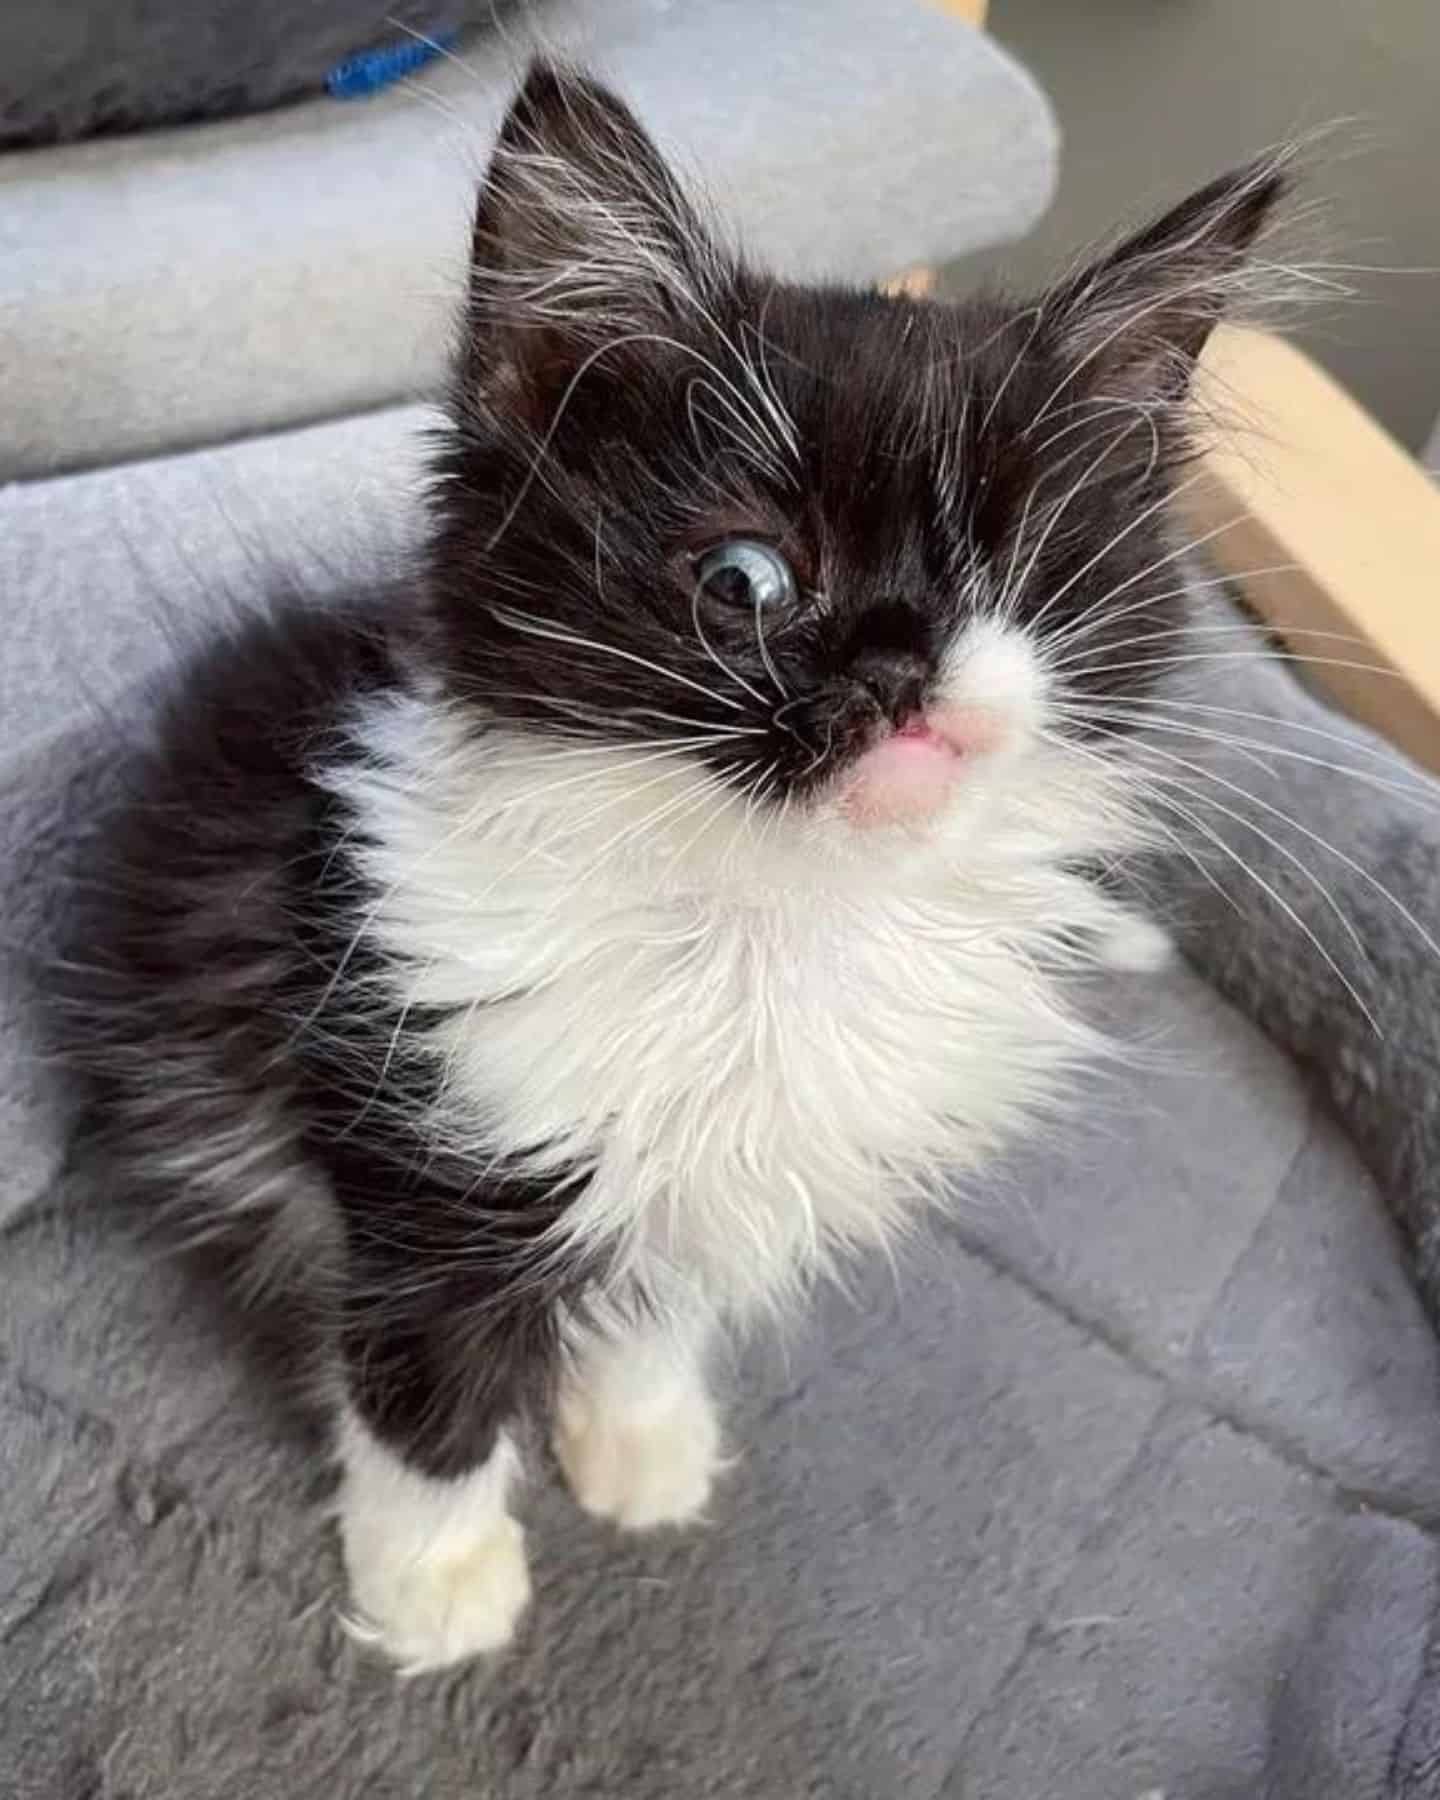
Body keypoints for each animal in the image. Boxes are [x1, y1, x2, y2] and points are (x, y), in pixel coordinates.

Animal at [64, 70, 1281, 1670]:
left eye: (1020, 578)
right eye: (744, 582)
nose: (903, 663)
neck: (777, 910)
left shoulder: (716, 1161)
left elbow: (660, 1293)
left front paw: (638, 1436)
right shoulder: (418, 1105)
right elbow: (424, 1370)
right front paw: (438, 1579)